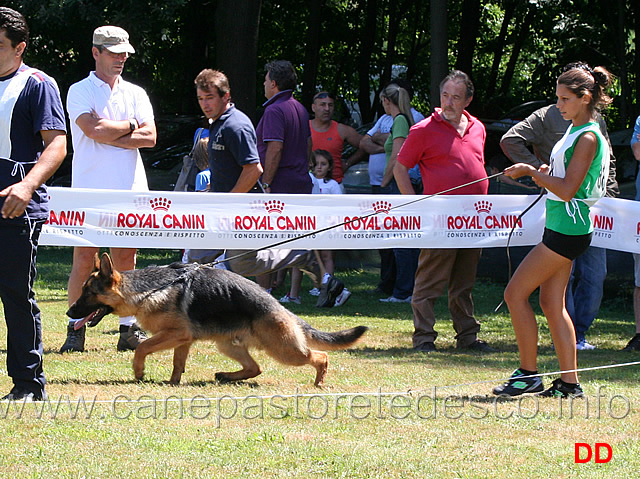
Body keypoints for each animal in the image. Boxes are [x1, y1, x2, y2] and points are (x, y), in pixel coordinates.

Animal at [67, 255, 368, 386]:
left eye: (88, 293)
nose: (69, 314)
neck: (149, 289)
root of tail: (281, 308)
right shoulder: (184, 339)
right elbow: (178, 364)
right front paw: (173, 383)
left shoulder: (175, 335)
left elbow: (141, 347)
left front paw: (139, 372)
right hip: (228, 345)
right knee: (255, 367)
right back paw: (225, 376)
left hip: (284, 350)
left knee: (320, 356)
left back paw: (318, 382)